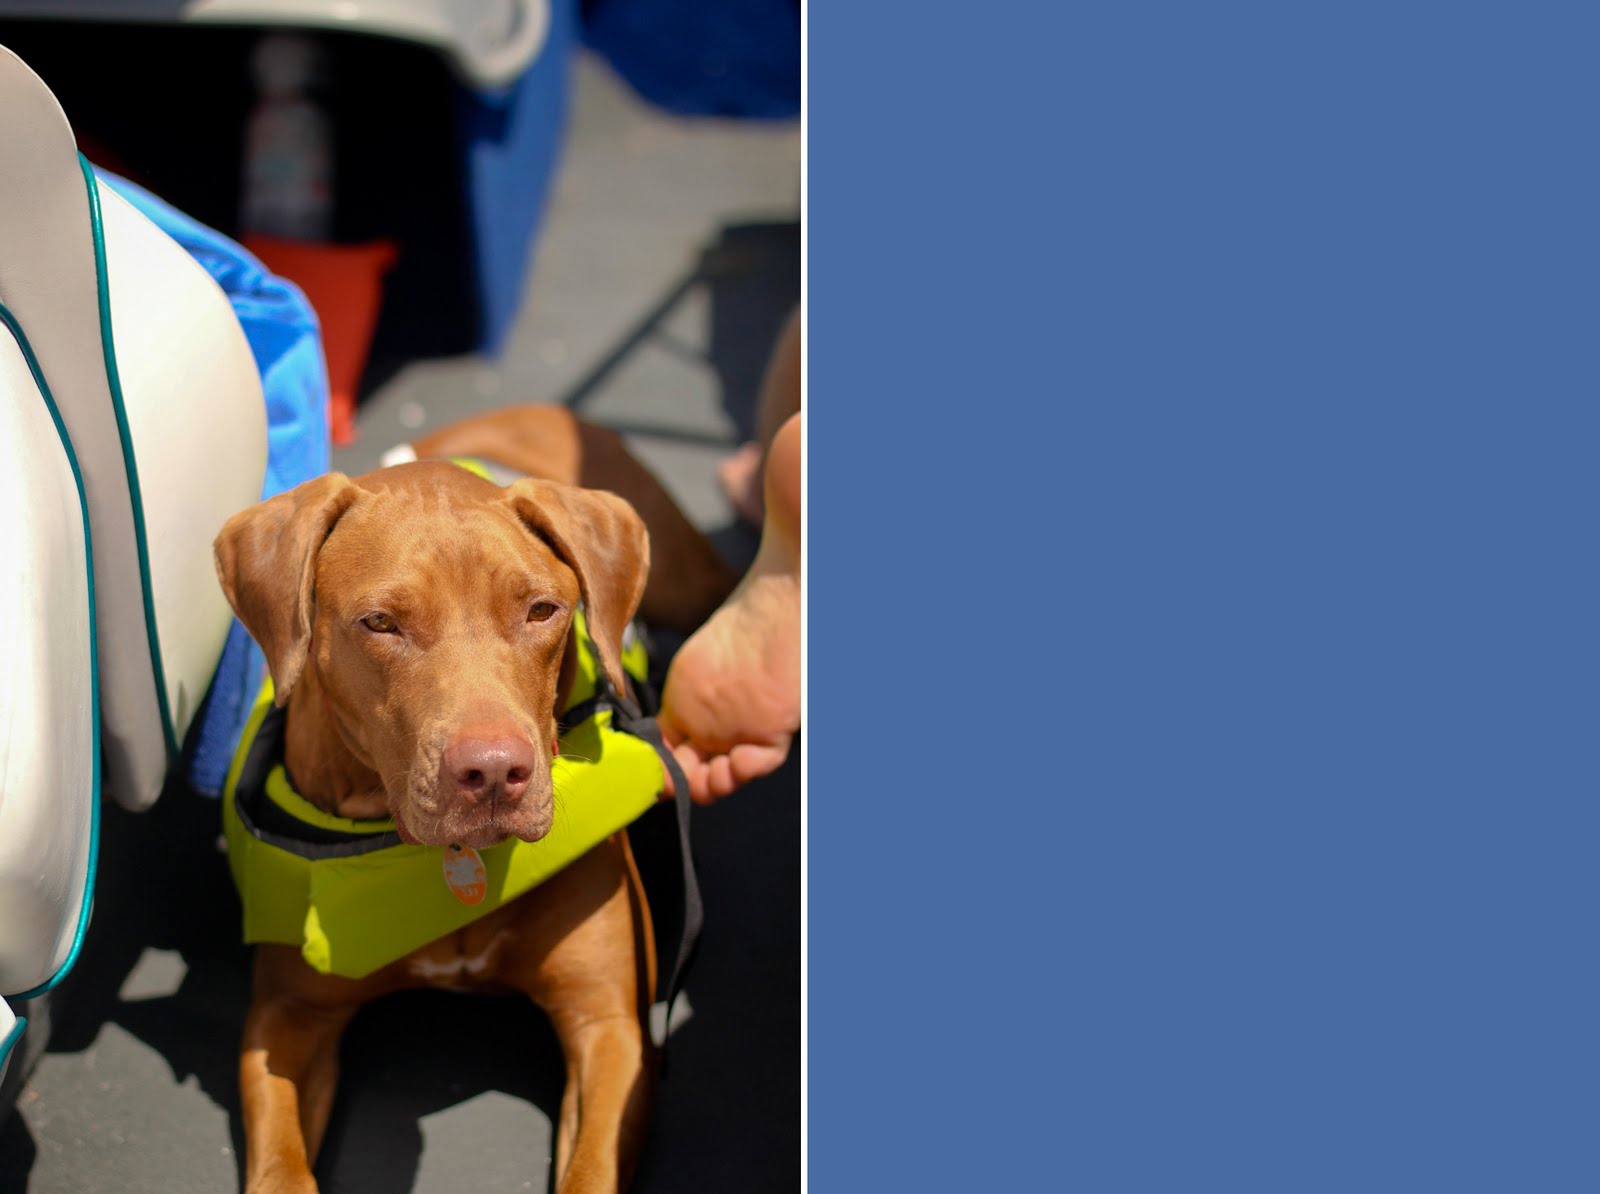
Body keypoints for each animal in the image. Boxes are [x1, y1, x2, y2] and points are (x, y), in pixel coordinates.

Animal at [213, 405, 736, 1194]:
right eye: (379, 622)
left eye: (543, 610)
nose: (493, 772)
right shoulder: (287, 1015)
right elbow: (280, 1163)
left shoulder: (608, 1026)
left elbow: (592, 1166)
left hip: (686, 575)